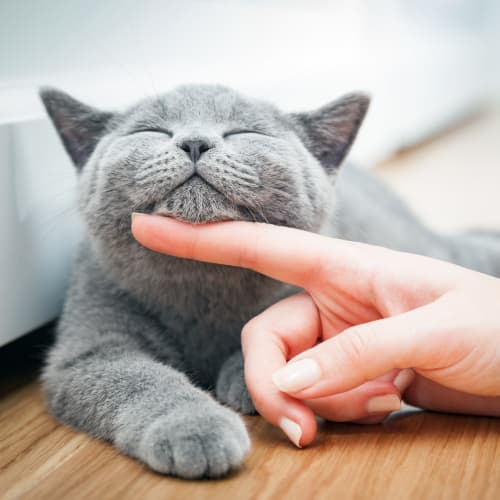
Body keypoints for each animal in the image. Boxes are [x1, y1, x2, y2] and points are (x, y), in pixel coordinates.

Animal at [41, 84, 500, 478]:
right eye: (151, 131)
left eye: (244, 132)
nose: (195, 142)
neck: (201, 289)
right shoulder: (90, 347)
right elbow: (138, 379)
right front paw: (195, 426)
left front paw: (247, 379)